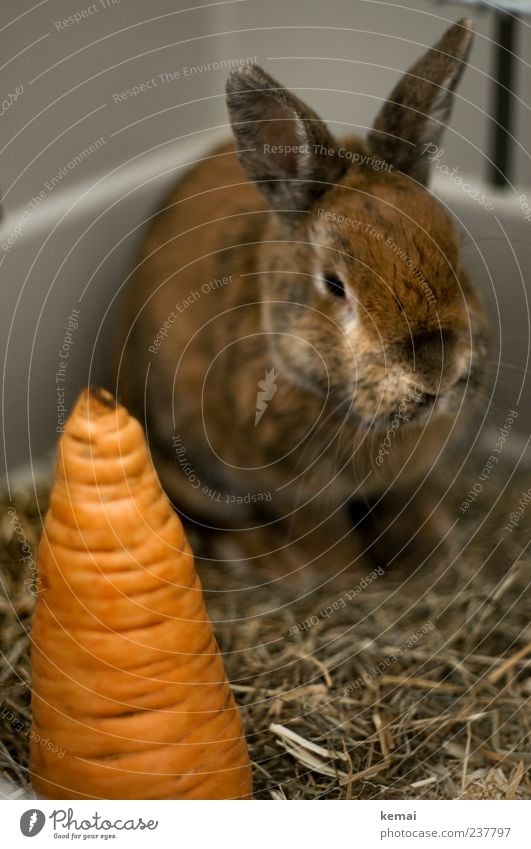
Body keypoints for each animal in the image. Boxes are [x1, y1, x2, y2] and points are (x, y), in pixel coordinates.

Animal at [115, 19, 486, 576]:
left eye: (455, 251)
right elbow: (325, 536)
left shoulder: (407, 477)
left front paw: (430, 544)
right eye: (334, 285)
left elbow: (405, 501)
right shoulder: (293, 492)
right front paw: (348, 574)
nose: (436, 372)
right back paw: (264, 560)